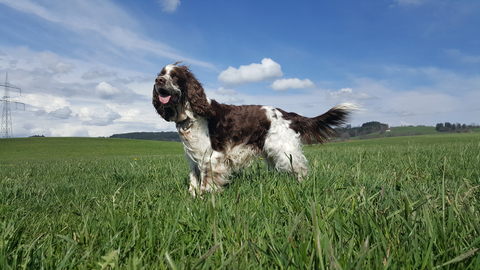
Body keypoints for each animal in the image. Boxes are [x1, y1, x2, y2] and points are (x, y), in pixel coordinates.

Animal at [154, 62, 356, 197]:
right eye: (162, 73)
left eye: (175, 76)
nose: (158, 80)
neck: (191, 115)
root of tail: (287, 114)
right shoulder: (192, 158)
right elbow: (193, 182)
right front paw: (193, 199)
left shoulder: (211, 157)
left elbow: (206, 183)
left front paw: (205, 199)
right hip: (272, 153)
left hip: (284, 150)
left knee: (301, 169)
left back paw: (302, 187)